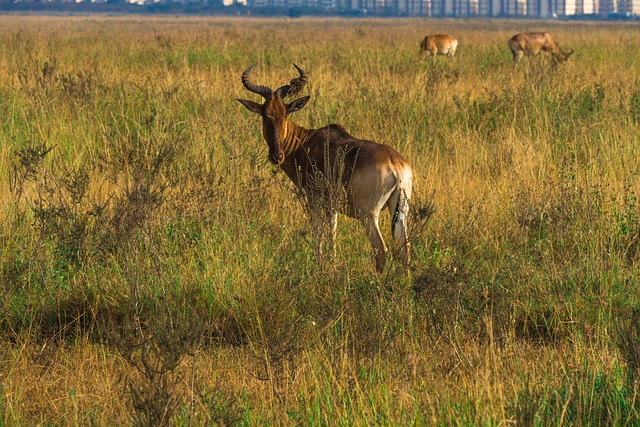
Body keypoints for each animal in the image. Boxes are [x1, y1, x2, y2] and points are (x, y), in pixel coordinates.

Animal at [238, 65, 412, 272]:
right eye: (265, 114)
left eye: (285, 113)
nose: (276, 155)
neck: (307, 141)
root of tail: (396, 165)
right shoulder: (332, 206)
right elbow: (332, 233)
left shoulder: (313, 200)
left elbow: (319, 231)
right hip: (400, 211)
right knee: (405, 248)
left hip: (368, 214)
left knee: (381, 249)